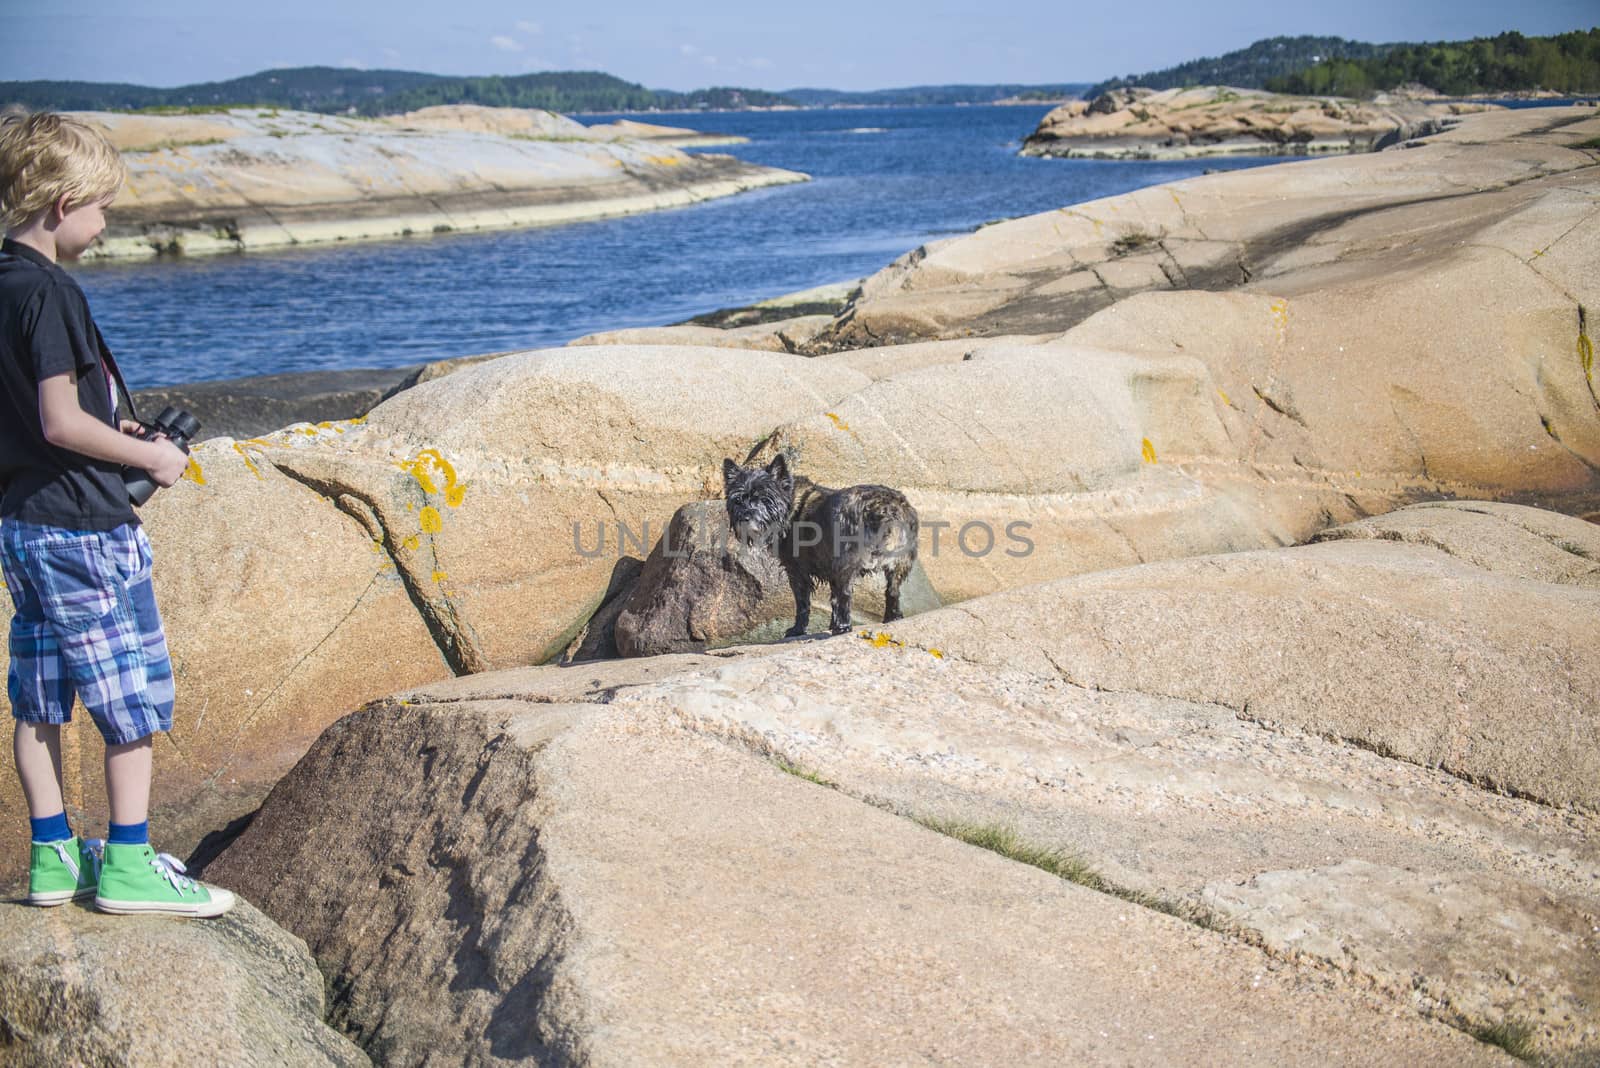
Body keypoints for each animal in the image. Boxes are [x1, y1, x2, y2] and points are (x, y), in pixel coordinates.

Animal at [723, 450, 921, 633]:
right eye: (738, 500)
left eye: (764, 498)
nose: (745, 516)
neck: (789, 504)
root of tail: (885, 508)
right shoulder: (830, 567)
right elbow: (833, 599)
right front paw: (831, 624)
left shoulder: (797, 571)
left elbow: (803, 602)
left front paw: (798, 629)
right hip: (899, 564)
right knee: (892, 591)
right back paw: (891, 618)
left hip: (848, 563)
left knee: (846, 594)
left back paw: (843, 627)